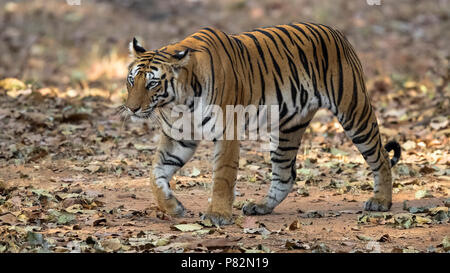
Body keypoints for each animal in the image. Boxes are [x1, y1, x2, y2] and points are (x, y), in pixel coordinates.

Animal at [119, 22, 400, 224]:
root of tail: (338, 32)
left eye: (152, 83)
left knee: (380, 156)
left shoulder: (227, 133)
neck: (179, 102)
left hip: (354, 110)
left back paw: (381, 201)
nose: (132, 108)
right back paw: (262, 207)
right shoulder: (178, 136)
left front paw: (217, 215)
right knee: (285, 174)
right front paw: (173, 207)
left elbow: (223, 176)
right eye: (132, 80)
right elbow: (155, 173)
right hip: (287, 129)